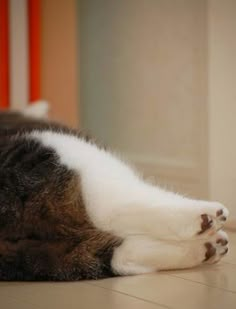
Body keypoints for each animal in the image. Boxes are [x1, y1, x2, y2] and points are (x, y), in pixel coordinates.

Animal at [0, 102, 229, 280]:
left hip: (58, 257)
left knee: (121, 256)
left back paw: (207, 248)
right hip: (73, 153)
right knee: (114, 209)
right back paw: (207, 217)